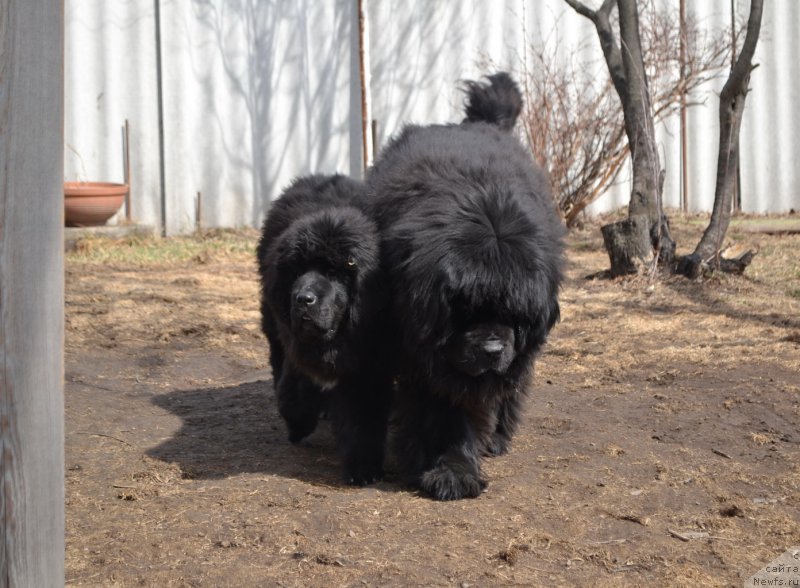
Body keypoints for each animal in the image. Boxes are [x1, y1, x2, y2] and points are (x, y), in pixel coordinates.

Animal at [256, 176, 390, 486]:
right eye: (297, 272)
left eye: (333, 273)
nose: (303, 299)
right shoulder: (297, 351)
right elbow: (292, 394)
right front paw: (298, 425)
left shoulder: (368, 365)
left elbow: (363, 418)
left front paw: (362, 468)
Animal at [368, 71, 564, 498]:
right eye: (465, 310)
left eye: (514, 314)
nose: (492, 349)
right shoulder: (418, 347)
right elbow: (438, 406)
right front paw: (442, 465)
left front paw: (455, 467)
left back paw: (499, 438)